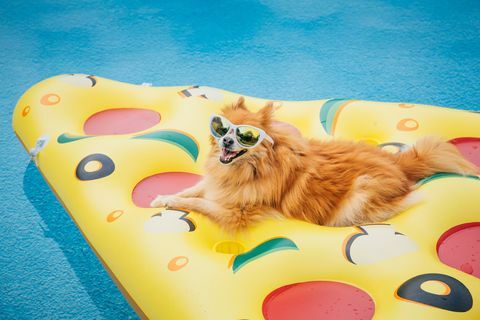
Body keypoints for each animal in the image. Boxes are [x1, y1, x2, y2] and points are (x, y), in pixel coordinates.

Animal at [149, 97, 476, 230]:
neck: (249, 170)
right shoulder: (217, 185)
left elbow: (197, 202)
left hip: (361, 191)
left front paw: (174, 202)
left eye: (246, 137)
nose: (227, 141)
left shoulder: (237, 212)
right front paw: (163, 197)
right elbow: (192, 190)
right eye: (222, 129)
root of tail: (400, 164)